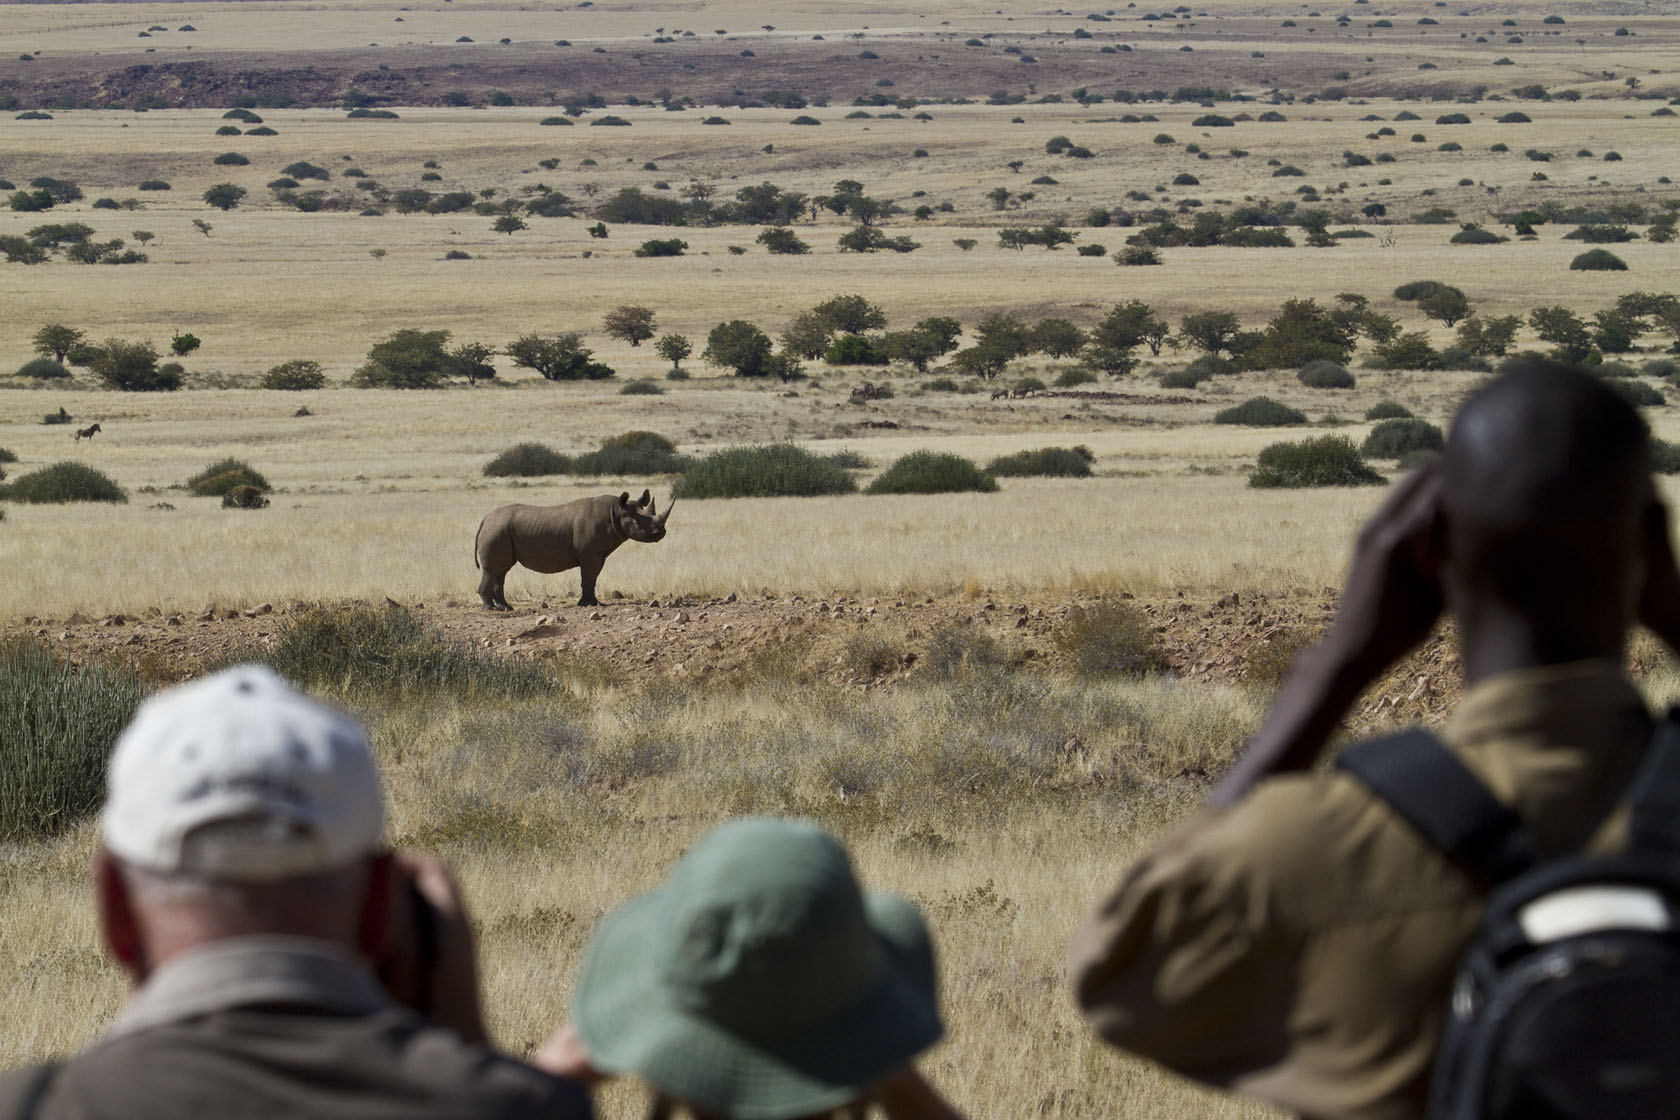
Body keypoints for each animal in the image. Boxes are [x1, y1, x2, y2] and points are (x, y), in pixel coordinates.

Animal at [474, 489, 672, 610]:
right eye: (639, 523)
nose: (661, 533)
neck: (615, 511)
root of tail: (485, 519)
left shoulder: (596, 554)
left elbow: (591, 578)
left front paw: (588, 603)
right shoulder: (590, 554)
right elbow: (589, 577)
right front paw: (591, 604)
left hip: (500, 530)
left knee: (502, 570)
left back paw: (506, 608)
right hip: (497, 530)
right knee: (493, 570)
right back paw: (491, 609)